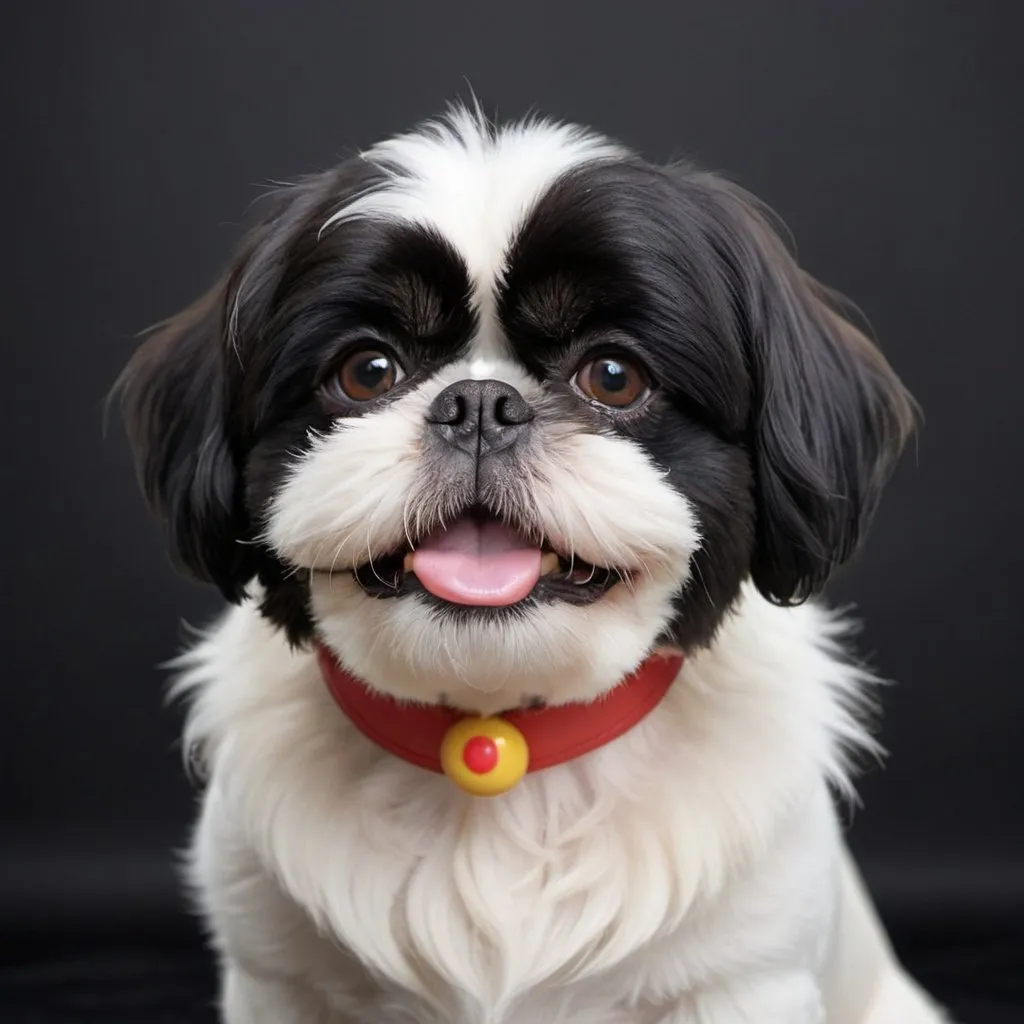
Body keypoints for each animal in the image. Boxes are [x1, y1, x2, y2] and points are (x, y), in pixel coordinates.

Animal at [121, 108, 950, 1019]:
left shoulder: (743, 979)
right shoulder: (281, 982)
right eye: (367, 371)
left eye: (614, 376)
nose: (481, 403)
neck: (500, 737)